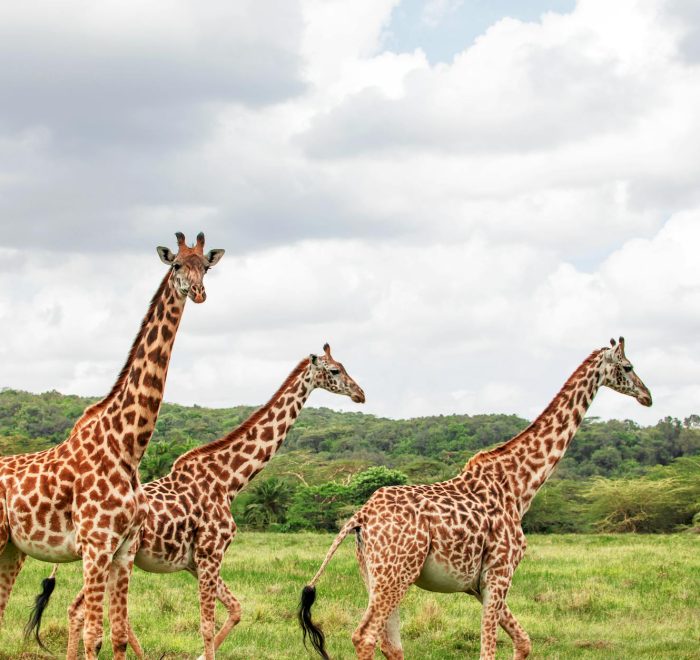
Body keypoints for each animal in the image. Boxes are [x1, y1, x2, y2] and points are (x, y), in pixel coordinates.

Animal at [0, 232, 224, 660]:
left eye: (206, 265)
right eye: (176, 265)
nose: (199, 293)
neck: (126, 447)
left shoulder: (123, 550)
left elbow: (117, 634)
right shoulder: (96, 545)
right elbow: (94, 635)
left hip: (12, 548)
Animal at [36, 342, 366, 660]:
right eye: (335, 370)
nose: (360, 394)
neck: (229, 480)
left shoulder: (196, 562)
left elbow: (235, 609)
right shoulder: (211, 553)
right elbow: (207, 623)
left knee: (82, 610)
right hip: (109, 555)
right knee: (81, 610)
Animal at [300, 338, 652, 656]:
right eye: (628, 366)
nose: (647, 396)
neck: (519, 486)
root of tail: (361, 516)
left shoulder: (478, 584)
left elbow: (524, 642)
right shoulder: (500, 572)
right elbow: (489, 650)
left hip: (376, 574)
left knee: (391, 644)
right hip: (397, 572)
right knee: (365, 636)